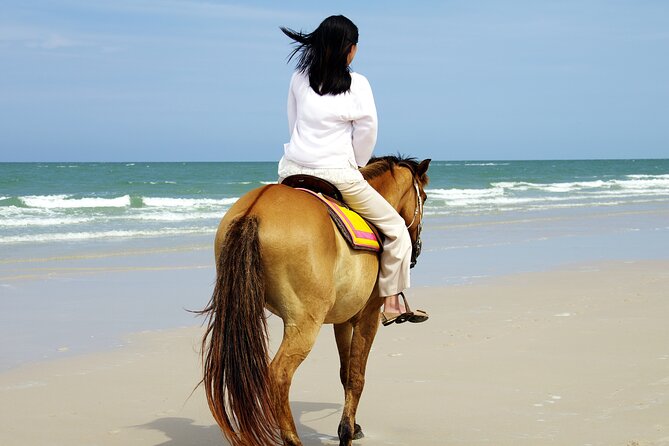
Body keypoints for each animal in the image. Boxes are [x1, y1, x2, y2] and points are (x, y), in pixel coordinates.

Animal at [200, 155, 428, 444]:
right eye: (425, 197)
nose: (416, 250)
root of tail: (255, 210)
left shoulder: (342, 320)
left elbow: (345, 373)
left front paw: (353, 426)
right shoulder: (368, 317)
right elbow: (357, 377)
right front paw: (346, 432)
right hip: (304, 323)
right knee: (278, 375)